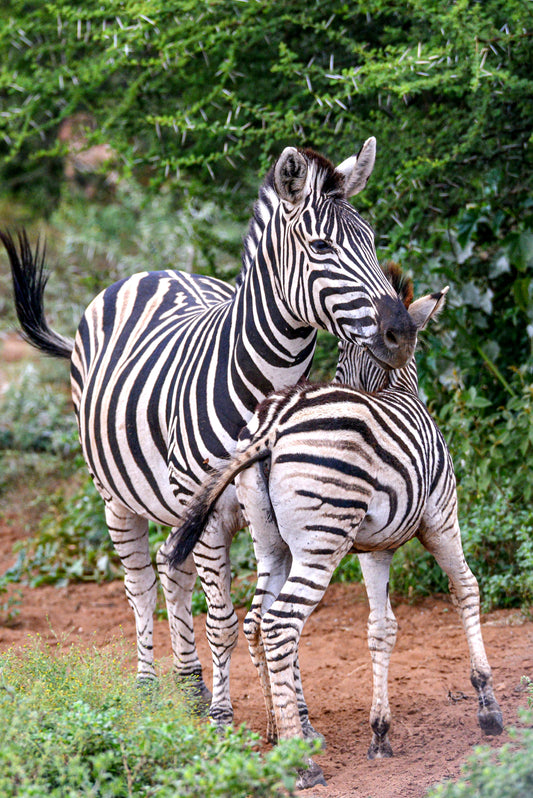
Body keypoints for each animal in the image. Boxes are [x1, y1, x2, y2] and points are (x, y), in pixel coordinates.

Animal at [1, 139, 421, 728]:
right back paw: (151, 686)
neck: (265, 391)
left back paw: (190, 682)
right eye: (320, 246)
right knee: (141, 583)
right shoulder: (212, 514)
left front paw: (294, 713)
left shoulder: (267, 513)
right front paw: (226, 716)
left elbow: (274, 615)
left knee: (168, 568)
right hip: (116, 497)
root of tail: (152, 271)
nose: (401, 333)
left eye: (372, 240)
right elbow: (223, 619)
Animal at [168, 285, 503, 789]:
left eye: (344, 355)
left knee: (256, 620)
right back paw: (301, 763)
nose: (345, 380)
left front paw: (380, 733)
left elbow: (381, 628)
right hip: (321, 543)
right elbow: (465, 589)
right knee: (280, 624)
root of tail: (271, 426)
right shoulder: (441, 517)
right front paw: (487, 705)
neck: (401, 391)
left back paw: (278, 730)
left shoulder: (374, 548)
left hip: (272, 545)